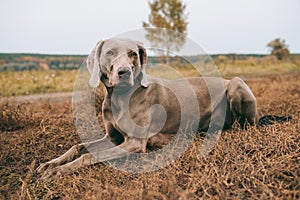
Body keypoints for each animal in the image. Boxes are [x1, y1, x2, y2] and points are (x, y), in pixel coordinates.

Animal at [37, 38, 288, 179]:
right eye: (109, 53)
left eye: (133, 54)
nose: (123, 72)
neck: (120, 98)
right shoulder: (113, 137)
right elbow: (77, 147)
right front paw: (50, 164)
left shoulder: (135, 143)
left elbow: (90, 156)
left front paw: (58, 171)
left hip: (236, 84)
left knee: (245, 125)